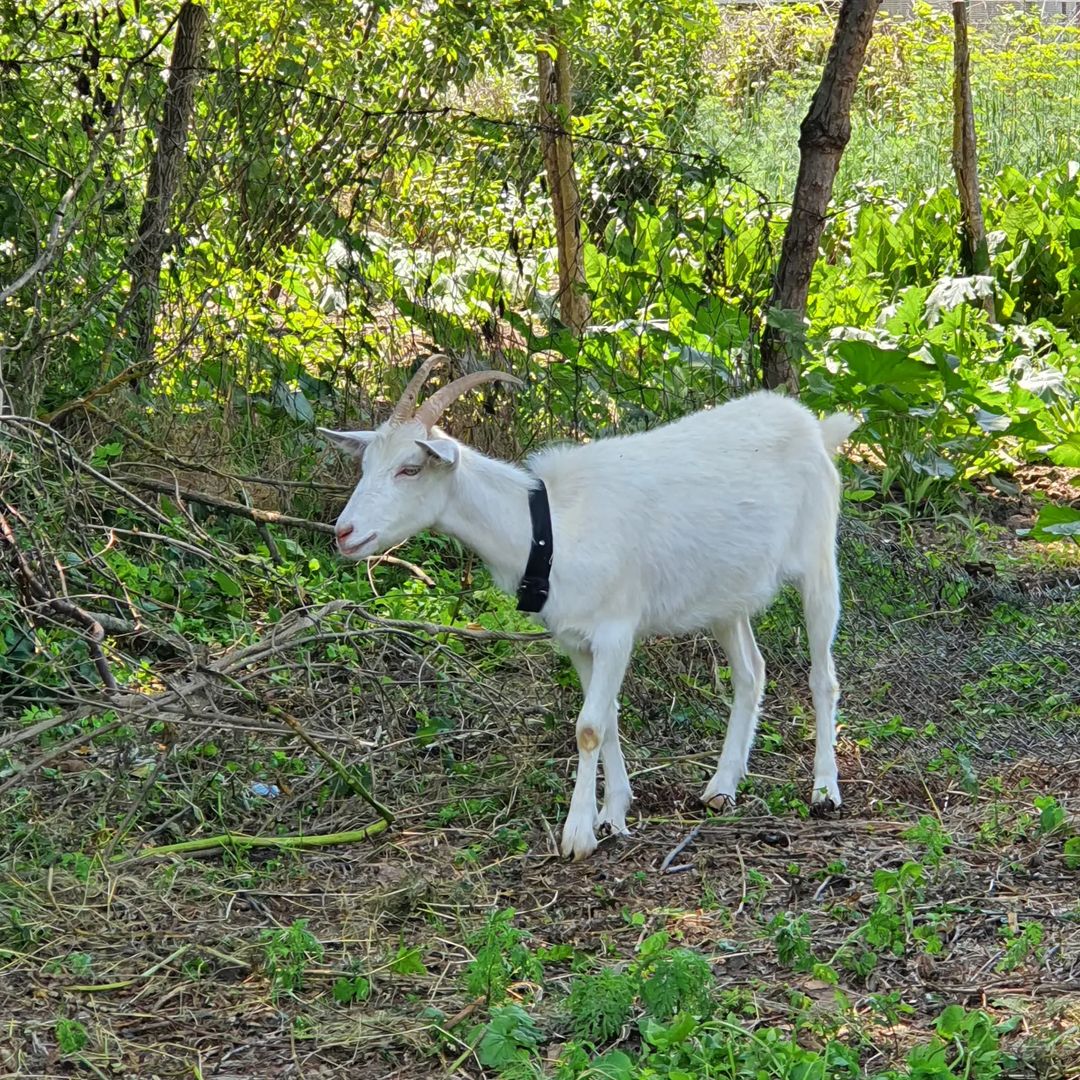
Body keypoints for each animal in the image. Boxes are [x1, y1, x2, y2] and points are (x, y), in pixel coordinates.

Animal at [320, 356, 858, 860]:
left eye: (410, 468)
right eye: (366, 466)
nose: (344, 533)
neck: (550, 530)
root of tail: (814, 427)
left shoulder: (617, 631)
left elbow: (589, 727)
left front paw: (578, 835)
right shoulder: (575, 639)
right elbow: (609, 719)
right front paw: (613, 814)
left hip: (818, 562)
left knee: (823, 677)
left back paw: (824, 790)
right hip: (727, 594)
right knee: (751, 672)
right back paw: (722, 788)